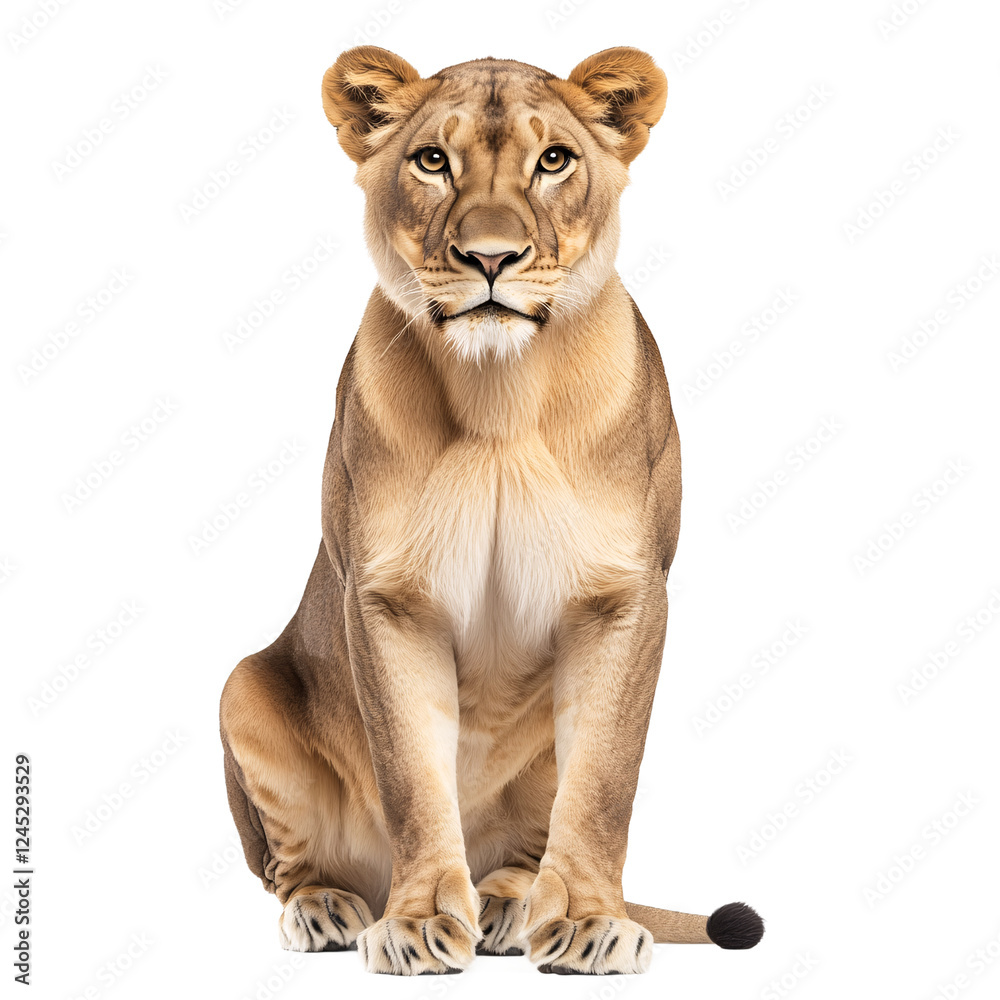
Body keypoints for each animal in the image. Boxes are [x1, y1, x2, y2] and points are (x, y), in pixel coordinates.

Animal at [219, 45, 764, 975]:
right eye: (433, 160)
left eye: (555, 160)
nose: (491, 258)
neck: (499, 396)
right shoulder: (386, 599)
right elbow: (411, 776)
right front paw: (413, 925)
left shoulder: (624, 596)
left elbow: (605, 782)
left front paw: (587, 922)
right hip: (243, 688)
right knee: (289, 865)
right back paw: (328, 907)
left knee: (524, 843)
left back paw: (510, 906)